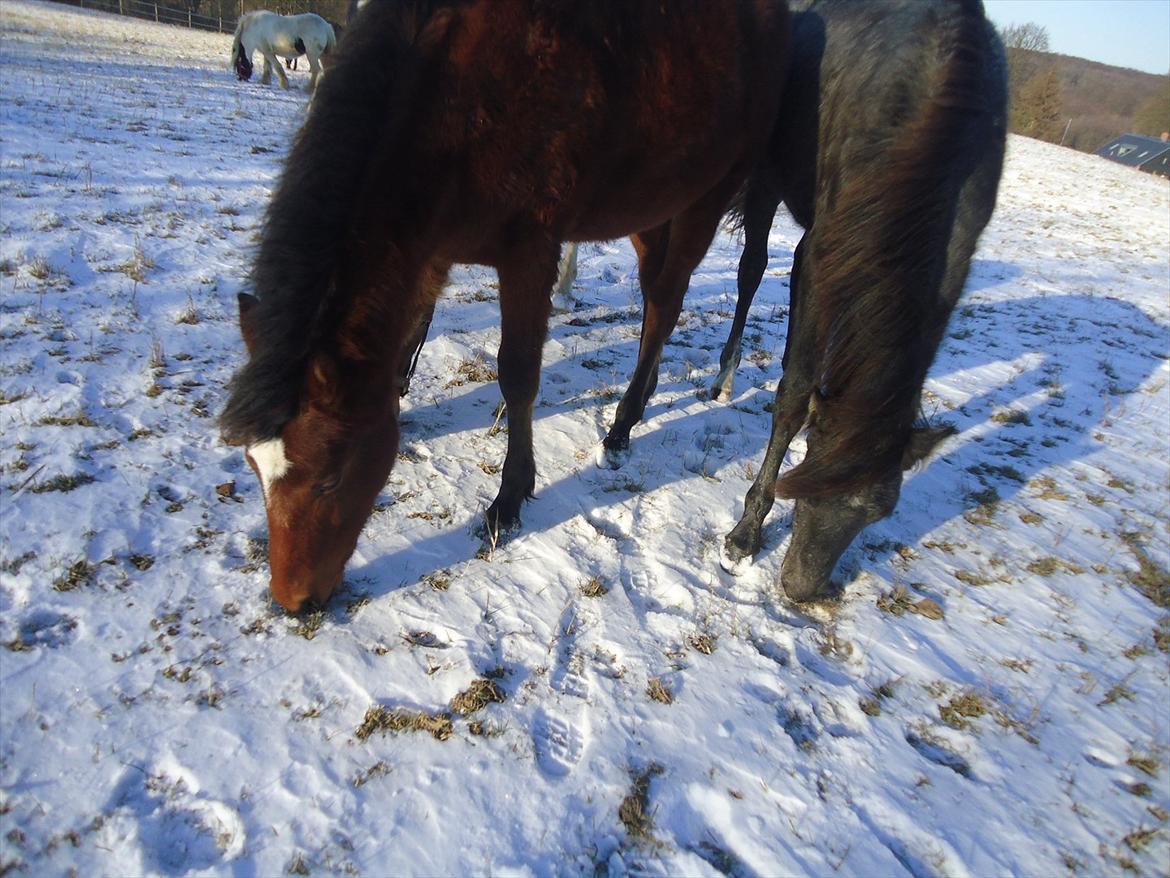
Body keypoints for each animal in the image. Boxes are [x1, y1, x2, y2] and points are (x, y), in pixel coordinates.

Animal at [221, 0, 786, 613]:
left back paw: (622, 426)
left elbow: (517, 374)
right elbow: (409, 339)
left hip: (707, 196)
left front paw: (509, 499)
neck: (457, 98)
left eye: (329, 477)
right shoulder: (432, 246)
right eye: (254, 467)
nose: (293, 601)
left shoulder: (528, 253)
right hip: (650, 203)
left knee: (666, 300)